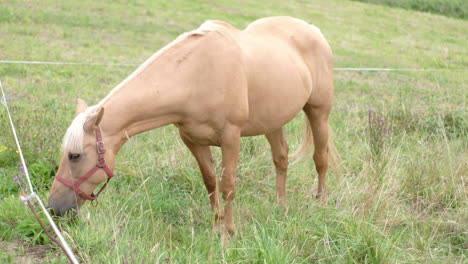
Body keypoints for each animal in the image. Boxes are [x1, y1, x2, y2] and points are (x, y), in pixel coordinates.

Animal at [49, 16, 338, 238]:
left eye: (74, 155)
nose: (54, 208)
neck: (195, 74)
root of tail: (313, 29)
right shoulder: (193, 141)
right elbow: (210, 183)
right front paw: (216, 226)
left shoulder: (231, 138)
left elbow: (228, 185)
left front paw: (228, 233)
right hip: (272, 120)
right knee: (281, 158)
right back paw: (281, 207)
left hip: (319, 111)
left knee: (320, 158)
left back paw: (322, 204)